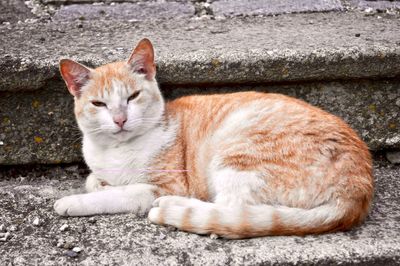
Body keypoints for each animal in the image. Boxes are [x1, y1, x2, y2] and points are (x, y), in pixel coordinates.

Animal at [54, 38, 374, 239]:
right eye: (99, 104)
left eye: (133, 97)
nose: (120, 119)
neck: (116, 151)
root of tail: (358, 190)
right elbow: (94, 181)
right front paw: (99, 183)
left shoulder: (164, 184)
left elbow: (120, 193)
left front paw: (72, 202)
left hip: (235, 154)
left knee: (232, 210)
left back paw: (174, 207)